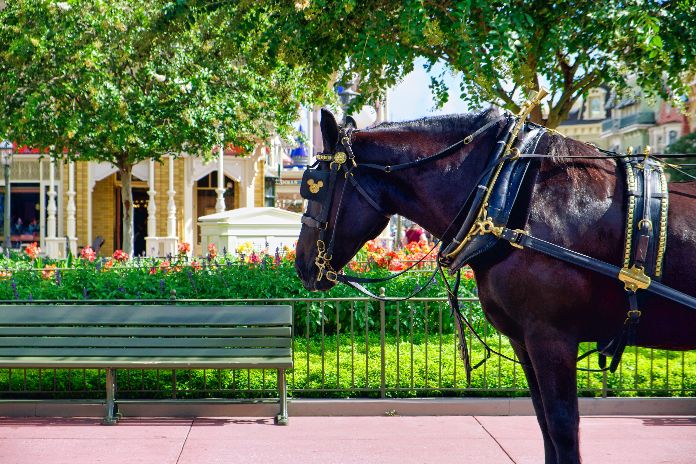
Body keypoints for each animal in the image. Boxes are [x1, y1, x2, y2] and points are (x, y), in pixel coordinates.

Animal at [295, 108, 696, 464]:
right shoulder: (525, 340)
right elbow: (544, 425)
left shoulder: (552, 337)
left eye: (314, 188)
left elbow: (563, 427)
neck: (507, 196)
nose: (300, 264)